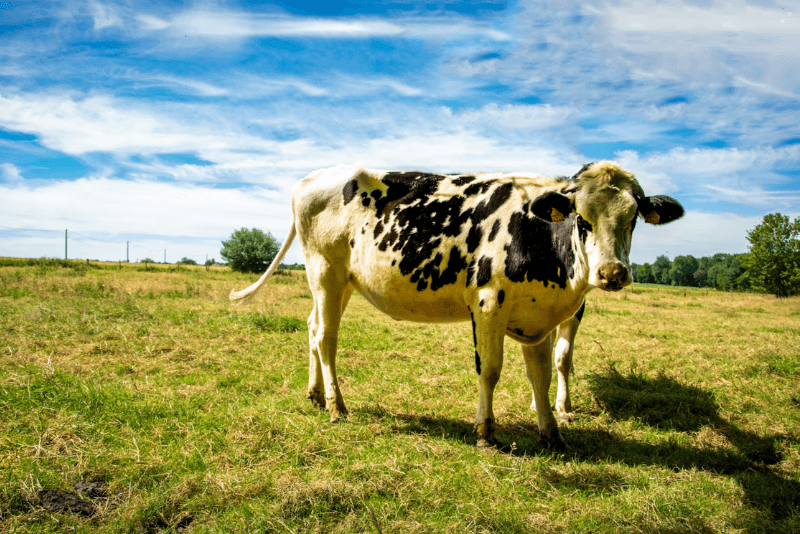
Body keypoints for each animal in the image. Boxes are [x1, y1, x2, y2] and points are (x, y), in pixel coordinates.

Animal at [230, 161, 684, 448]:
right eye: (580, 217)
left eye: (633, 219)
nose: (612, 272)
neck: (537, 235)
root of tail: (313, 176)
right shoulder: (488, 304)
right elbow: (491, 371)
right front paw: (485, 432)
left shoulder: (539, 318)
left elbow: (541, 375)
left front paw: (552, 432)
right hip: (325, 270)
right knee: (326, 338)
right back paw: (336, 406)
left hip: (340, 284)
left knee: (311, 326)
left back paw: (314, 393)